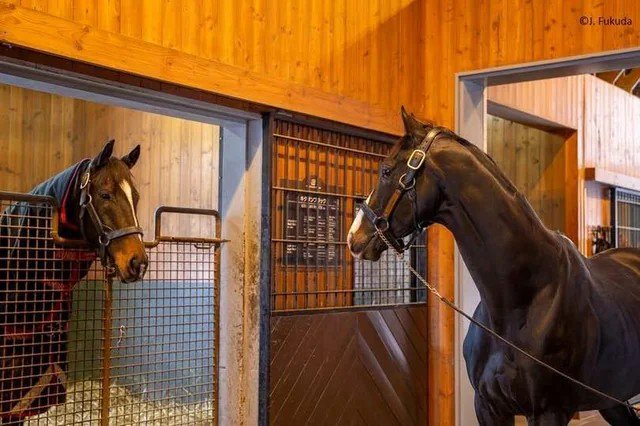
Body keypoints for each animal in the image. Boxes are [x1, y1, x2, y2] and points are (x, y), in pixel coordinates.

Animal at [347, 108, 640, 425]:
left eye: (386, 171)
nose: (354, 237)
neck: (525, 299)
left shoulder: (550, 411)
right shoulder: (488, 406)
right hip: (613, 399)